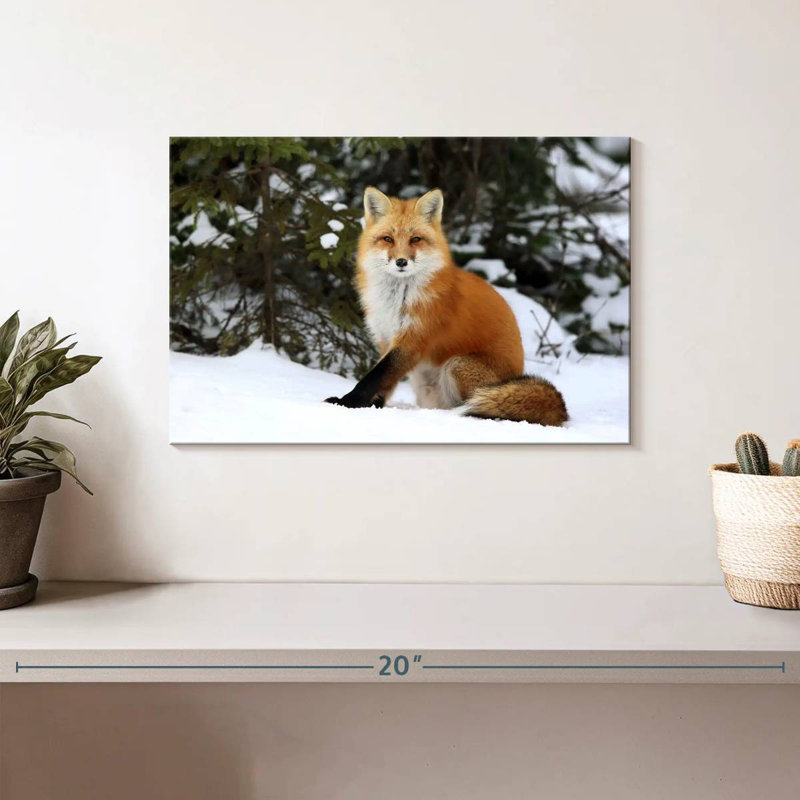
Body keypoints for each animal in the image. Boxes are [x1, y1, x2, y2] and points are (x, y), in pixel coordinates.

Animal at [324, 187, 568, 426]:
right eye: (388, 239)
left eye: (415, 239)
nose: (401, 261)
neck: (397, 298)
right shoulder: (386, 338)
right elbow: (385, 380)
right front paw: (373, 406)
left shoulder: (414, 338)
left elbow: (374, 377)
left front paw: (347, 402)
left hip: (457, 365)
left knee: (478, 405)